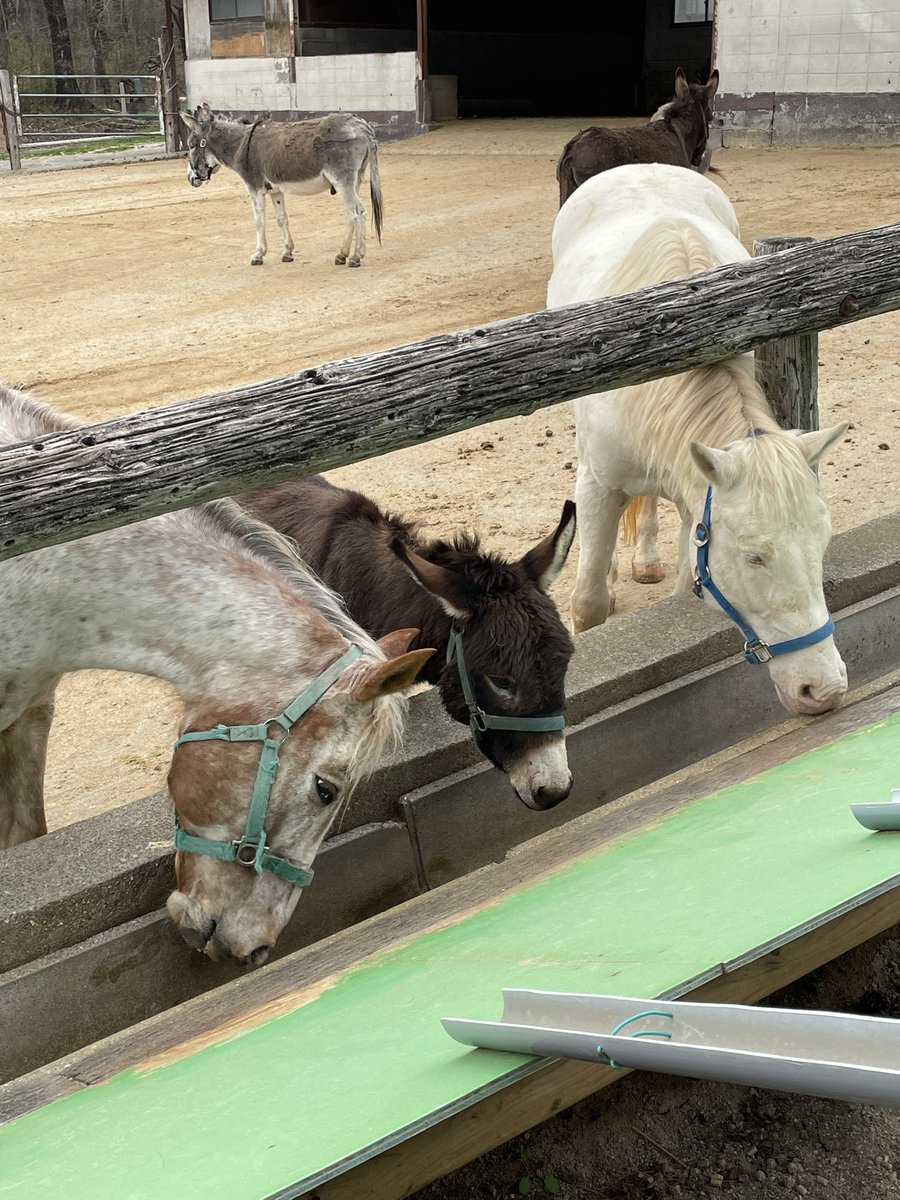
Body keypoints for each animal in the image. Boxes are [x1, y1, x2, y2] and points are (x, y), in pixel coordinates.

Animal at [549, 163, 854, 715]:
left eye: (822, 543)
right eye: (754, 556)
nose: (823, 691)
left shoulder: (695, 500)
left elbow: (681, 587)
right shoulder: (599, 485)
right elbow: (588, 604)